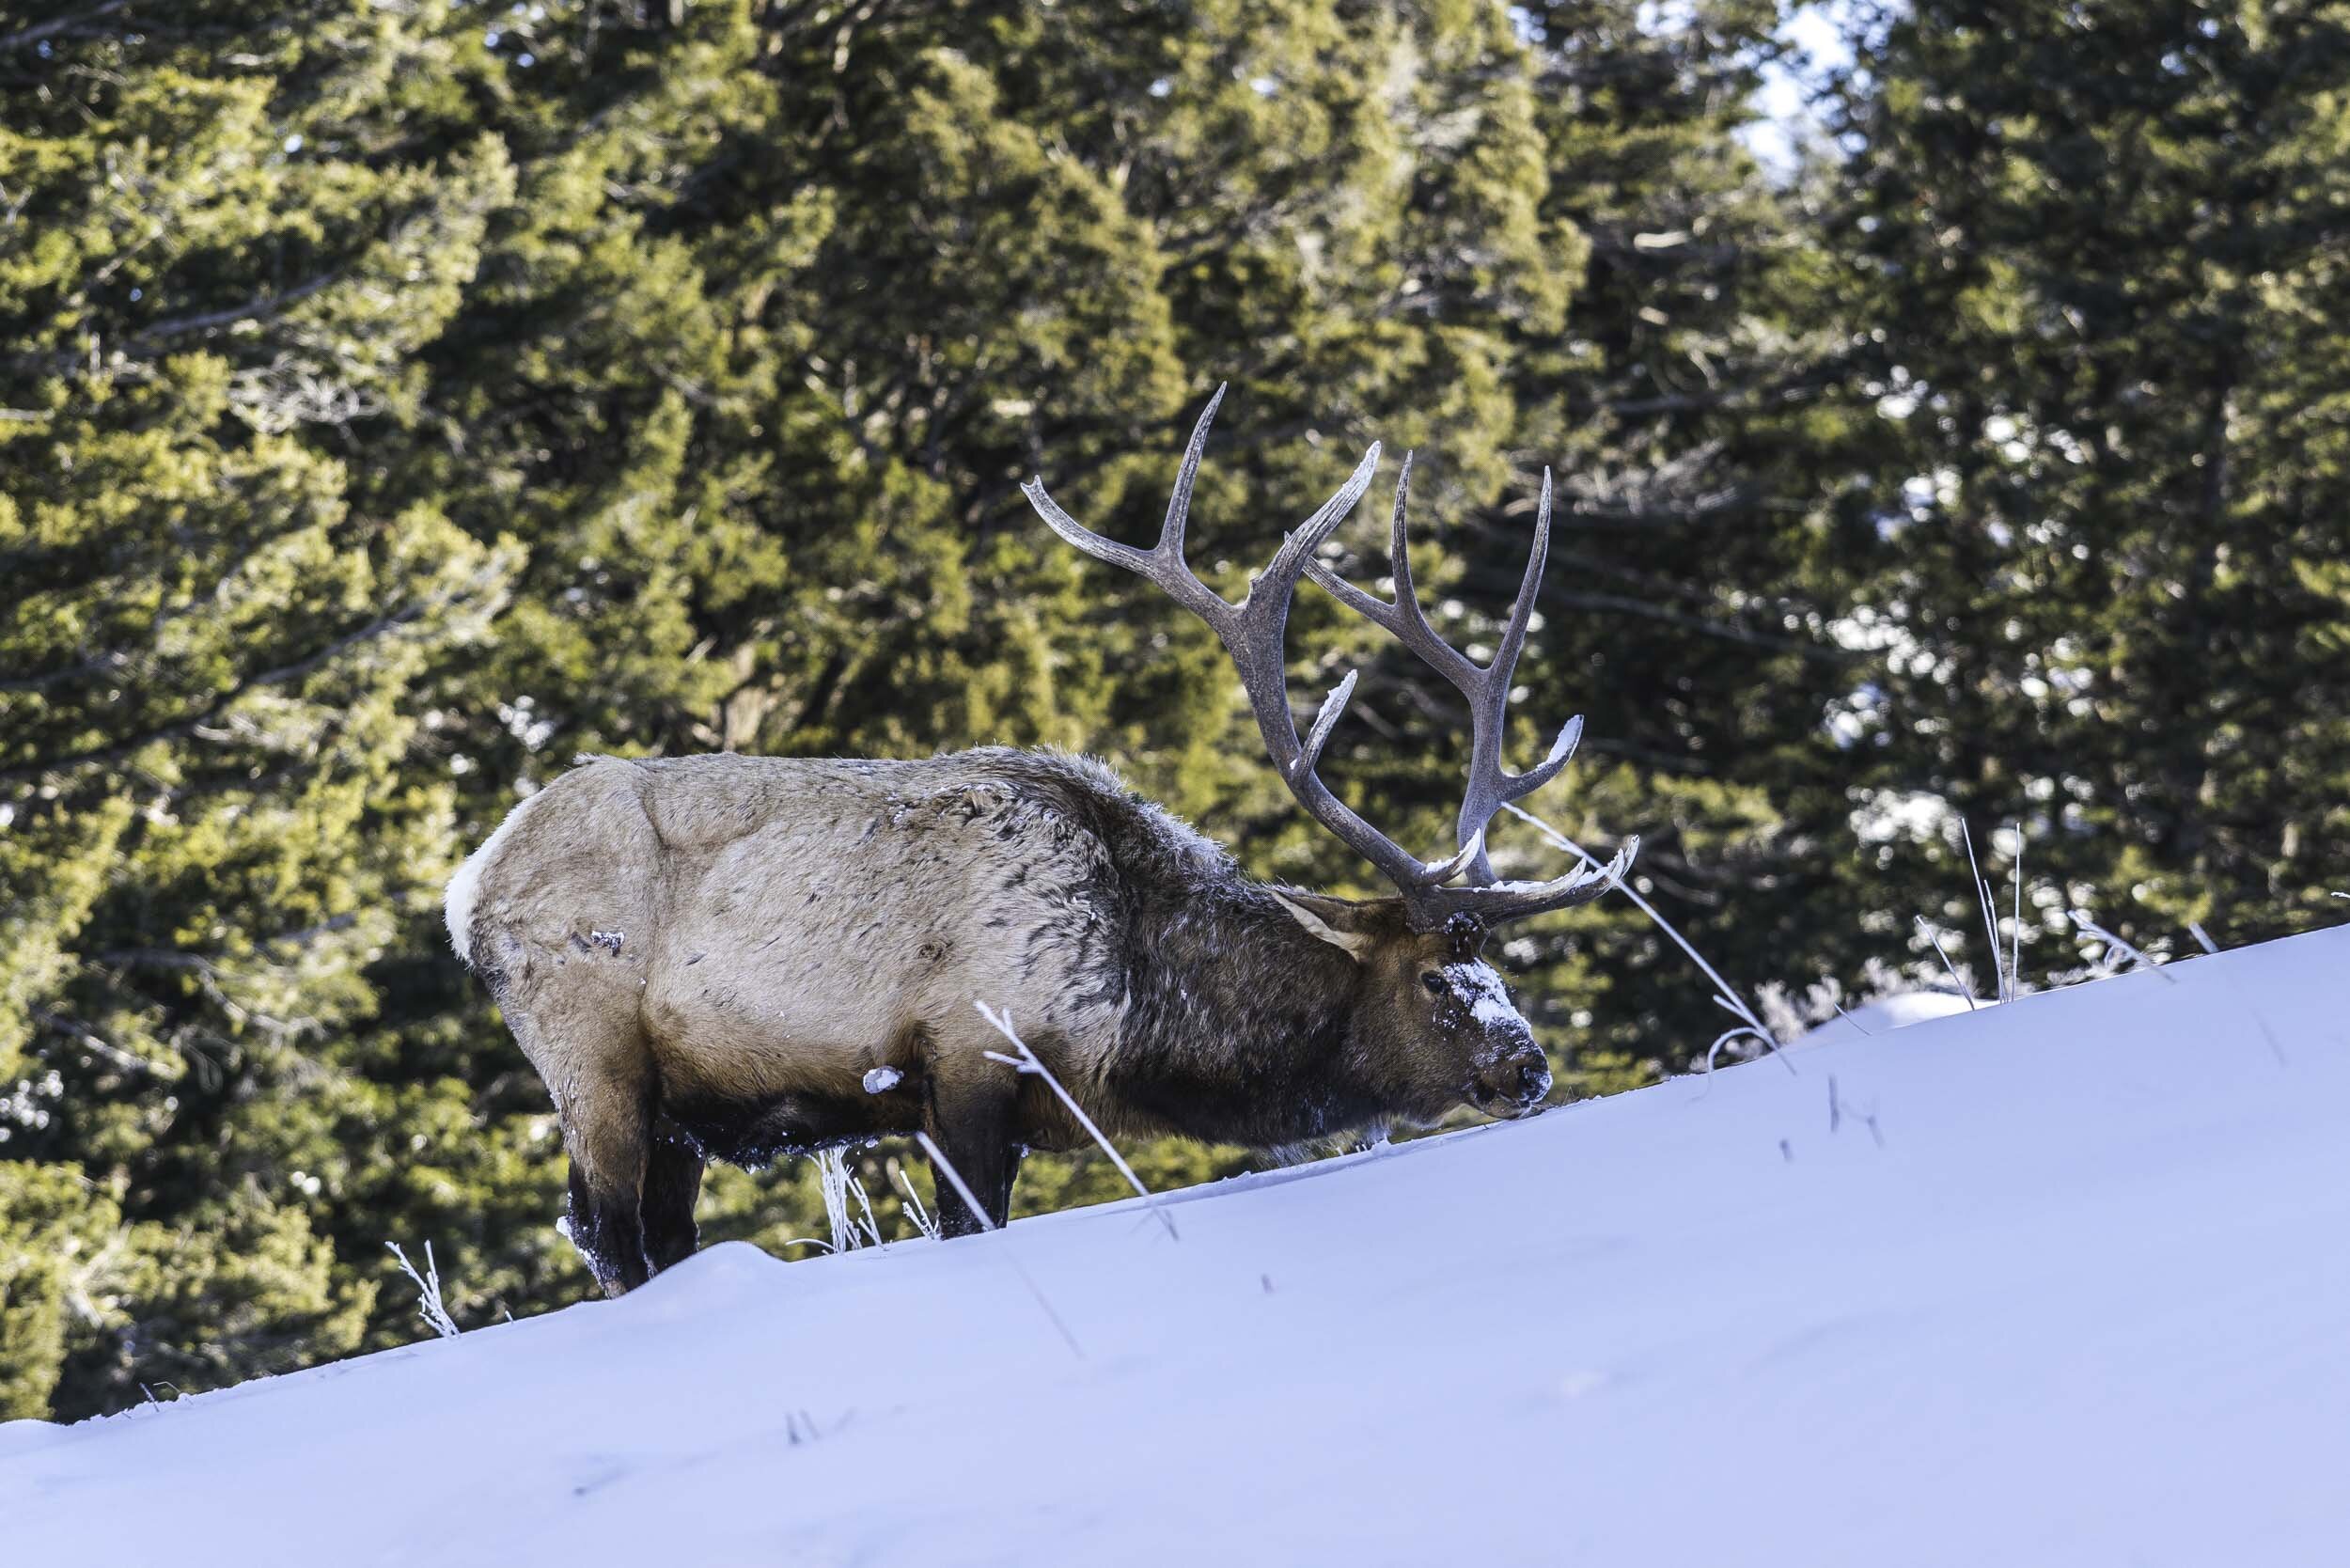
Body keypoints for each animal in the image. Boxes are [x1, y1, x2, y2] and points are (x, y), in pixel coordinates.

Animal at [446, 387, 1636, 1295]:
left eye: (1499, 972)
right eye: (1437, 976)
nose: (1526, 1066)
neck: (1139, 1006)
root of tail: (467, 891)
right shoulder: (968, 1051)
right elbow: (971, 1225)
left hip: (678, 1111)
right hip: (592, 1053)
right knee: (606, 1234)